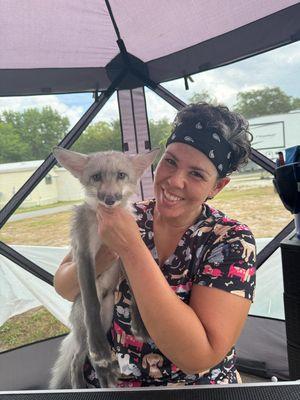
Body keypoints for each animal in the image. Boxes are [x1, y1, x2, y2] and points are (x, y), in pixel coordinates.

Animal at [49, 146, 159, 388]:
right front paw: (101, 349)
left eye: (121, 175)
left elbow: (136, 293)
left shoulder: (126, 253)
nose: (109, 199)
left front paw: (140, 325)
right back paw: (82, 383)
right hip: (86, 329)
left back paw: (105, 377)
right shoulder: (84, 253)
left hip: (106, 316)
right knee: (77, 359)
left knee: (89, 360)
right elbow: (91, 302)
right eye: (96, 177)